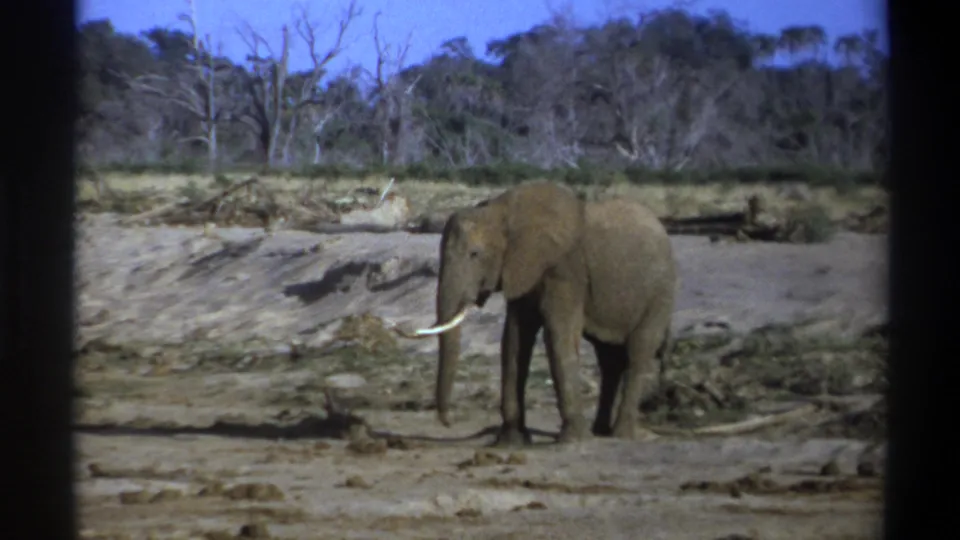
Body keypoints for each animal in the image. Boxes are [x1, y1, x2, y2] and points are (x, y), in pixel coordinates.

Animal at [396, 181, 678, 445]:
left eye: (475, 254)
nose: (449, 422)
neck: (501, 211)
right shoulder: (522, 270)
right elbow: (514, 339)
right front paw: (512, 442)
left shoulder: (565, 269)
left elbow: (558, 335)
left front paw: (572, 440)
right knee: (609, 359)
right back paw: (600, 431)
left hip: (660, 292)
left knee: (639, 351)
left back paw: (621, 435)